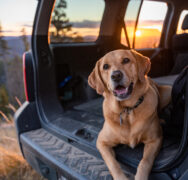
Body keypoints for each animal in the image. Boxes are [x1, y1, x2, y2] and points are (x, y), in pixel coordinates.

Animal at [87, 49, 171, 180]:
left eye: (126, 60)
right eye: (105, 66)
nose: (116, 75)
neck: (127, 110)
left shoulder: (155, 140)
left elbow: (145, 161)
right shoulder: (101, 142)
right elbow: (113, 164)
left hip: (169, 90)